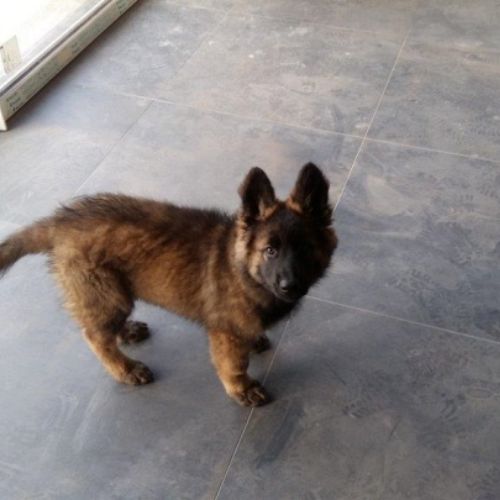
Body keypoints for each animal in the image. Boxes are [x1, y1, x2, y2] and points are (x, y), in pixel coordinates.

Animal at [0, 163, 337, 406]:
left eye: (305, 249)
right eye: (270, 250)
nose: (290, 286)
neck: (244, 270)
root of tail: (61, 221)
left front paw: (256, 341)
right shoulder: (225, 333)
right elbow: (234, 364)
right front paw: (242, 388)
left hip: (111, 294)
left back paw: (127, 332)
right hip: (105, 291)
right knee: (95, 336)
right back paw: (126, 369)